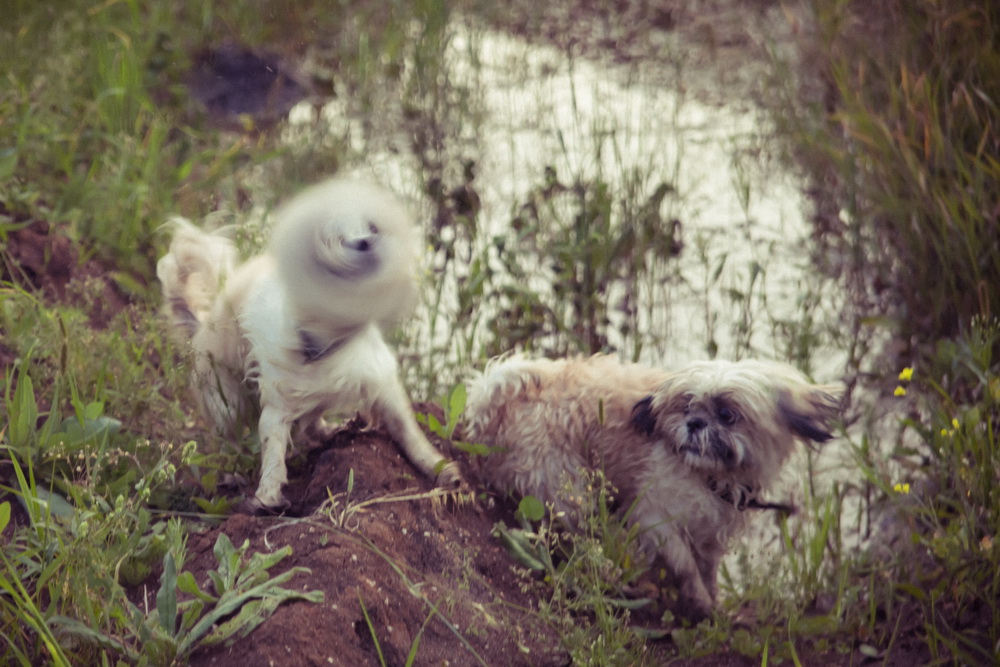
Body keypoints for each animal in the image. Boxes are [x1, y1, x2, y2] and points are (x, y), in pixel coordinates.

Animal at [159, 177, 464, 512]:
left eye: (371, 227)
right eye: (336, 240)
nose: (366, 242)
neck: (326, 343)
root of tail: (201, 325)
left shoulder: (383, 386)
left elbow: (410, 434)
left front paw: (440, 470)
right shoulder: (275, 410)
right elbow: (273, 454)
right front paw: (267, 496)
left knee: (311, 420)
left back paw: (330, 430)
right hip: (226, 402)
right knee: (226, 442)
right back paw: (230, 475)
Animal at [464, 354, 840, 620]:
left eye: (727, 414)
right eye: (686, 405)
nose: (694, 422)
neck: (707, 475)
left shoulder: (711, 530)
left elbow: (707, 567)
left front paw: (715, 602)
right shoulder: (654, 517)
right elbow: (685, 564)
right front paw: (699, 601)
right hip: (564, 484)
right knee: (576, 538)